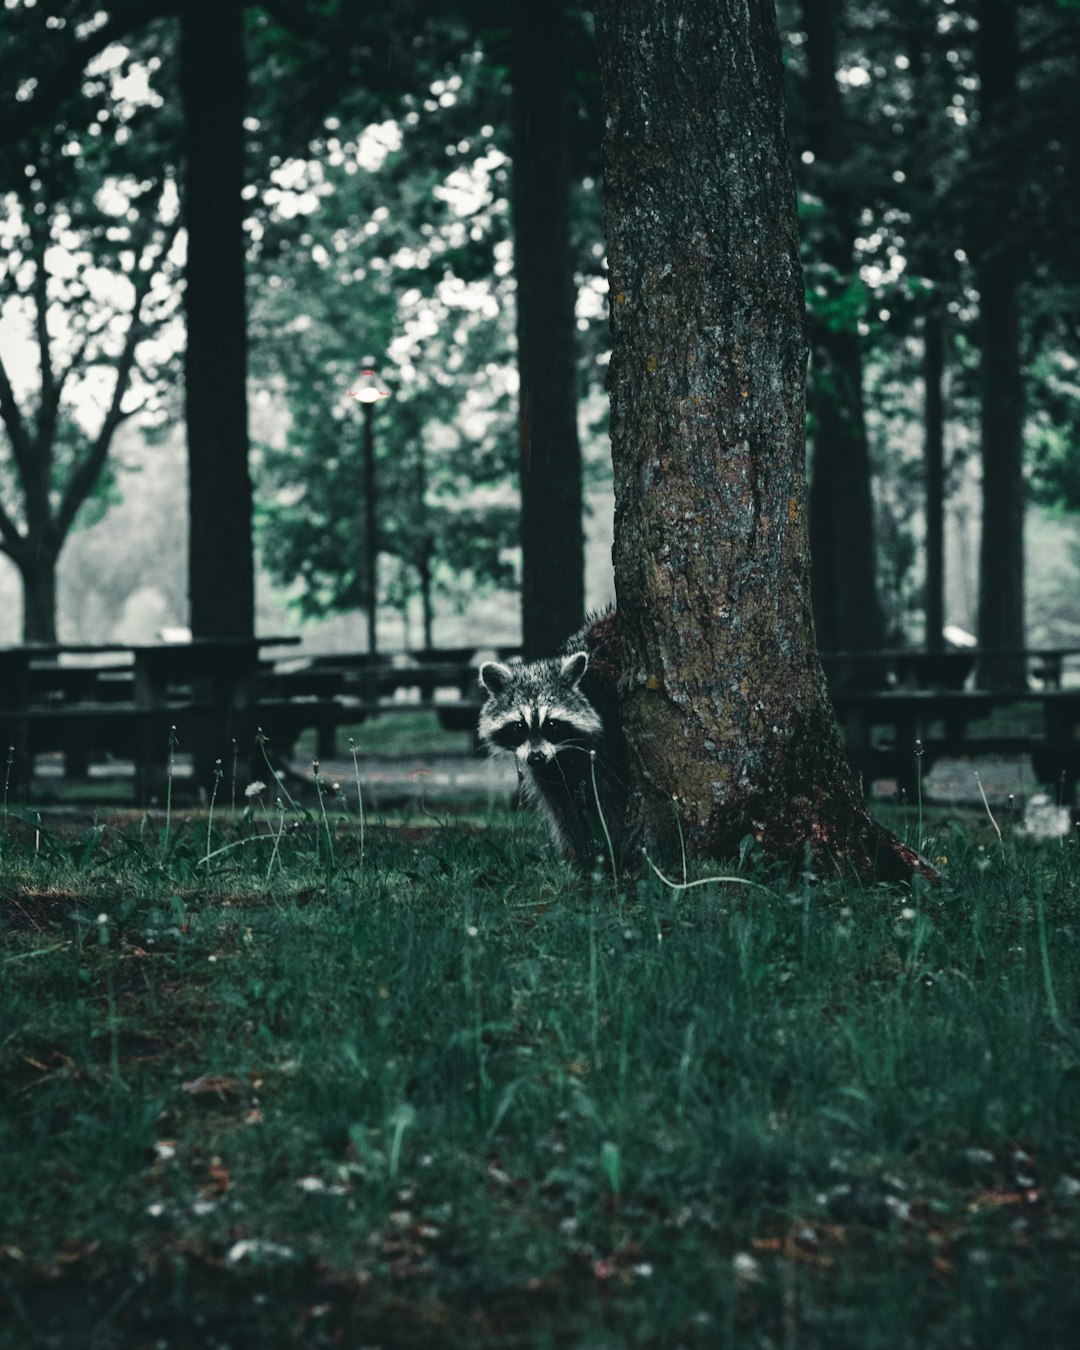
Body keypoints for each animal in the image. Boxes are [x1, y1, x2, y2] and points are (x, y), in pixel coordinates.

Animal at [477, 612, 629, 864]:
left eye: (551, 724)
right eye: (519, 726)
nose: (536, 757)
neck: (564, 753)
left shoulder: (610, 741)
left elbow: (611, 798)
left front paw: (611, 846)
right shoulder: (548, 771)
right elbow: (562, 805)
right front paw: (575, 854)